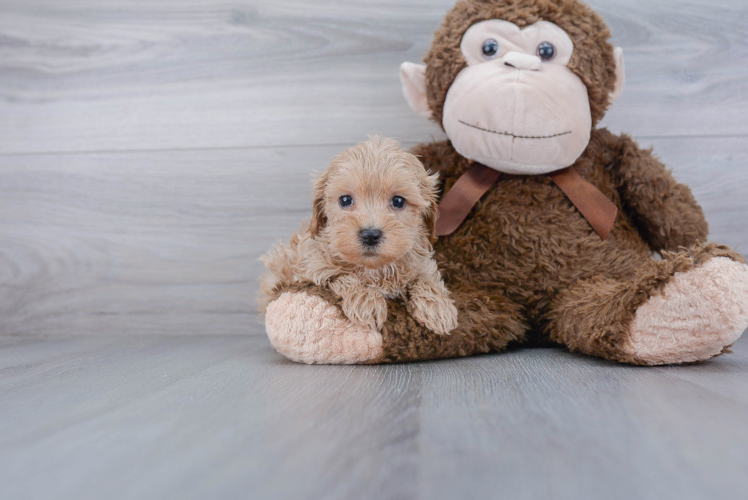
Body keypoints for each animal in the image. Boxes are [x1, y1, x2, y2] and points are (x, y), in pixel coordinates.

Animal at [260, 136, 458, 336]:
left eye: (398, 201)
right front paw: (367, 301)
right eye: (345, 200)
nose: (370, 235)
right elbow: (342, 276)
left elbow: (425, 279)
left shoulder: (422, 265)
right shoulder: (311, 267)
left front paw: (437, 307)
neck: (375, 269)